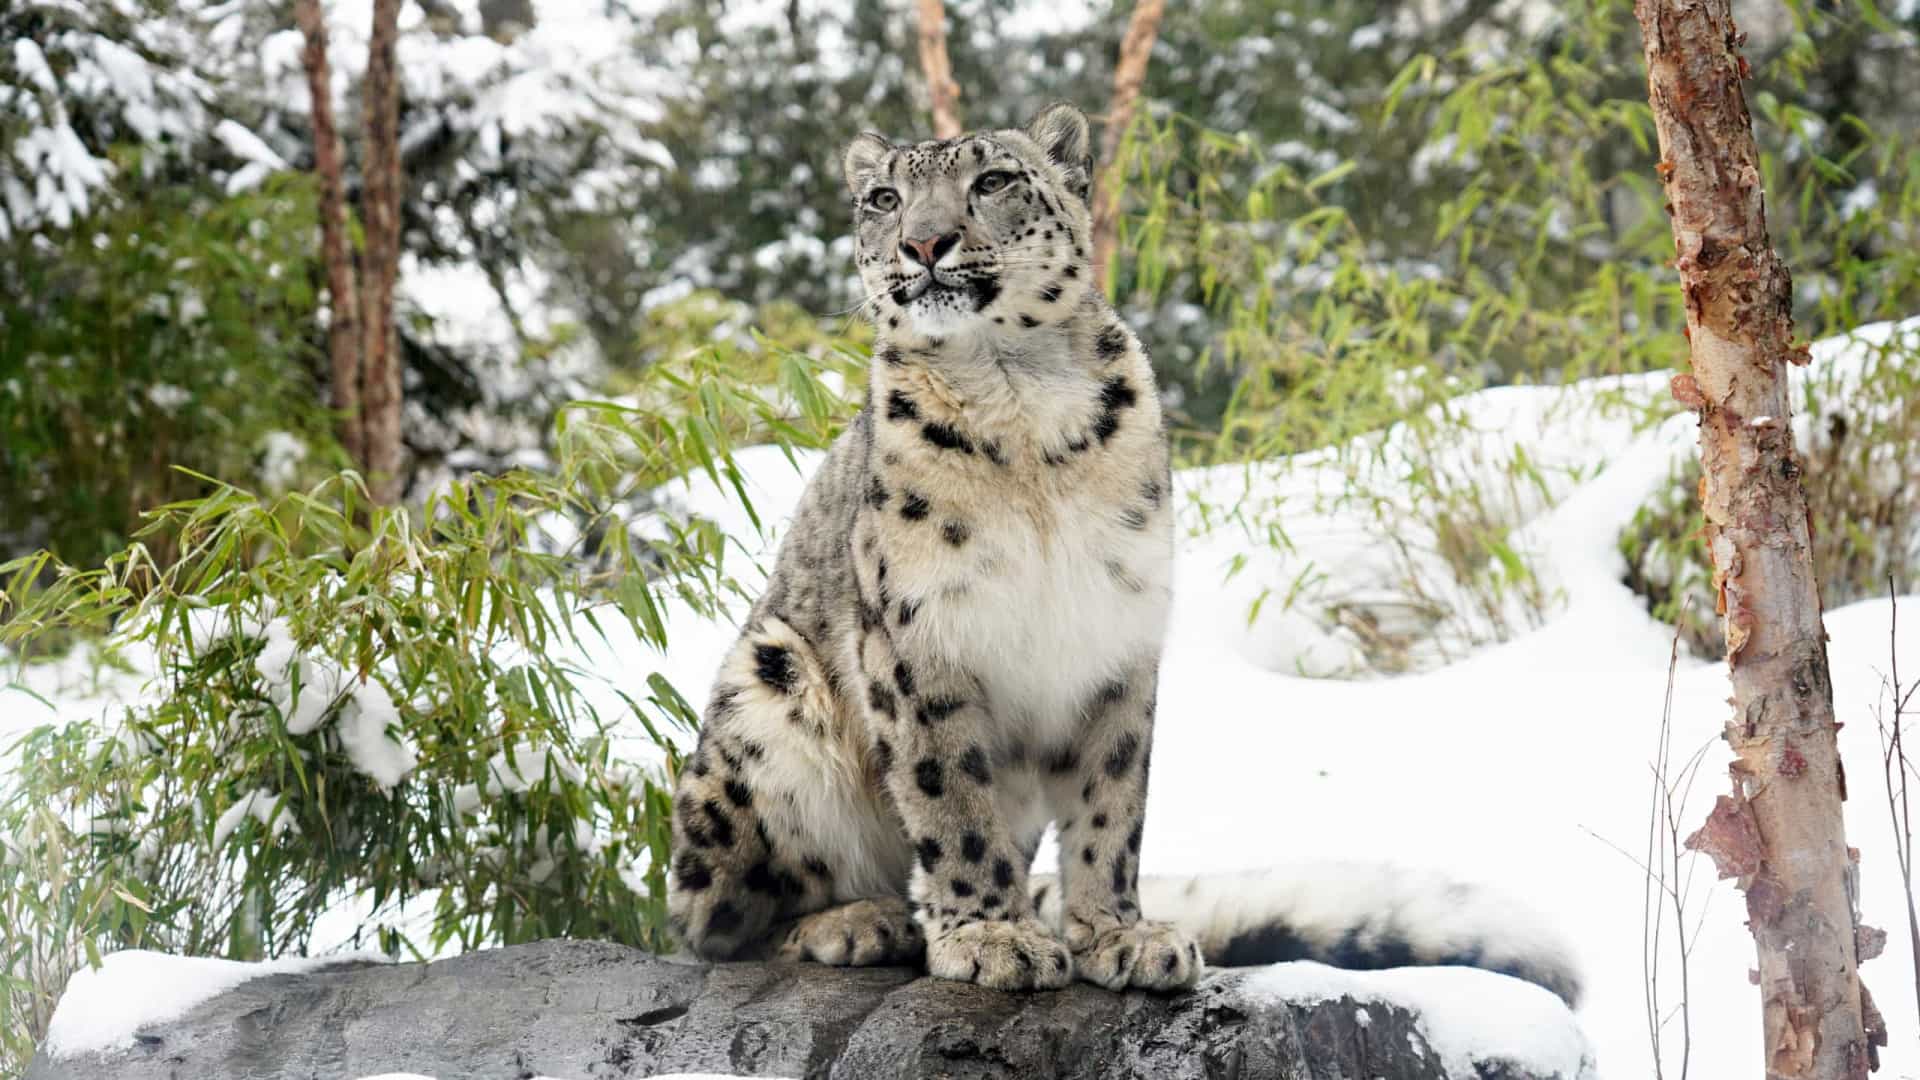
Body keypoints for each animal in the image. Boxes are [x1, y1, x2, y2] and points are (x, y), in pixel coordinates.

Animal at [663, 103, 1582, 1002]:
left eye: (993, 181)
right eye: (885, 199)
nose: (924, 244)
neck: (1018, 401)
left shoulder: (1116, 628)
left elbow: (1112, 800)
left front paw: (1120, 936)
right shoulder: (919, 636)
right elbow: (950, 796)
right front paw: (993, 938)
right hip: (764, 689)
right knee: (717, 925)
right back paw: (865, 922)